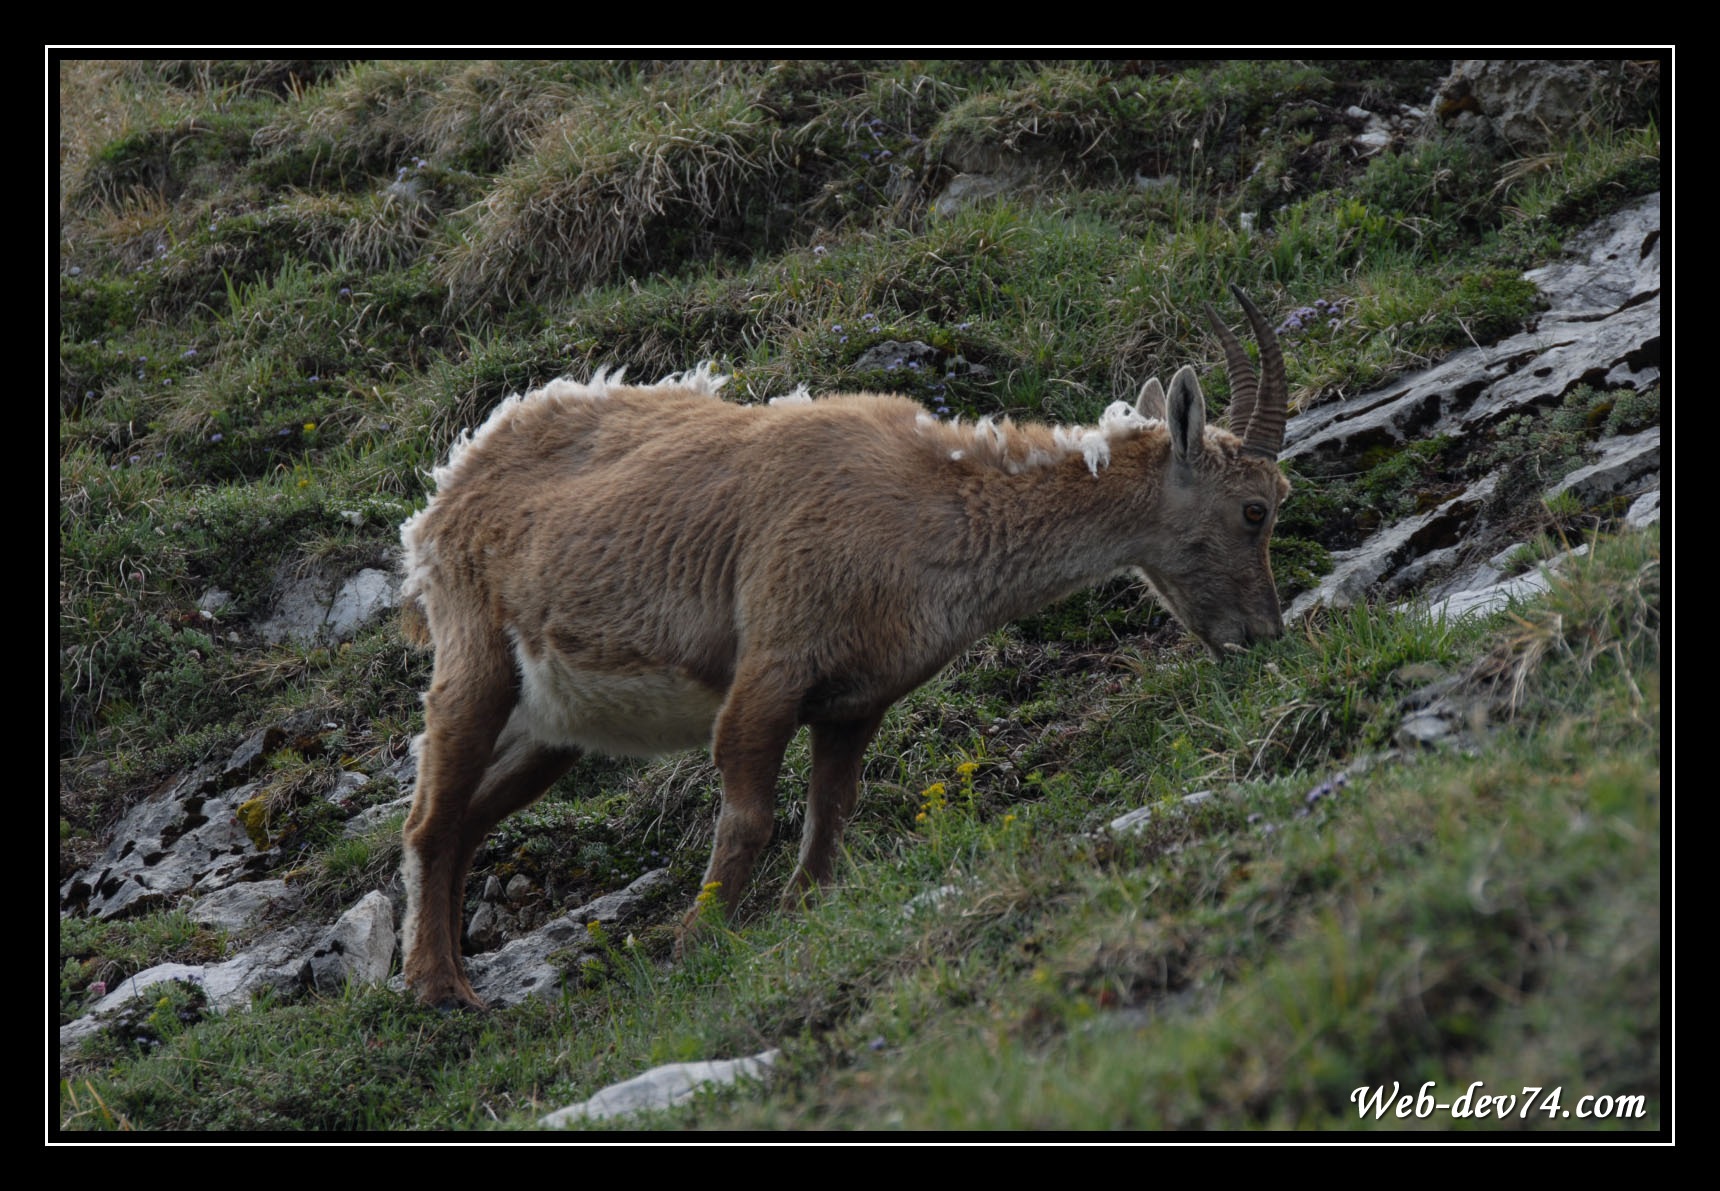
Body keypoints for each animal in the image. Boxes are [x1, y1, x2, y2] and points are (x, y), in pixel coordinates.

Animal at [397, 286, 1291, 1009]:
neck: (928, 511)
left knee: (469, 819)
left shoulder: (856, 699)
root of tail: (449, 483)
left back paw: (458, 977)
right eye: (1256, 508)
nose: (1264, 634)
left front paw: (800, 912)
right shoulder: (774, 662)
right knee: (431, 820)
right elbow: (751, 815)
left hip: (550, 727)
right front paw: (697, 940)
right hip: (475, 658)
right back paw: (439, 989)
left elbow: (831, 813)